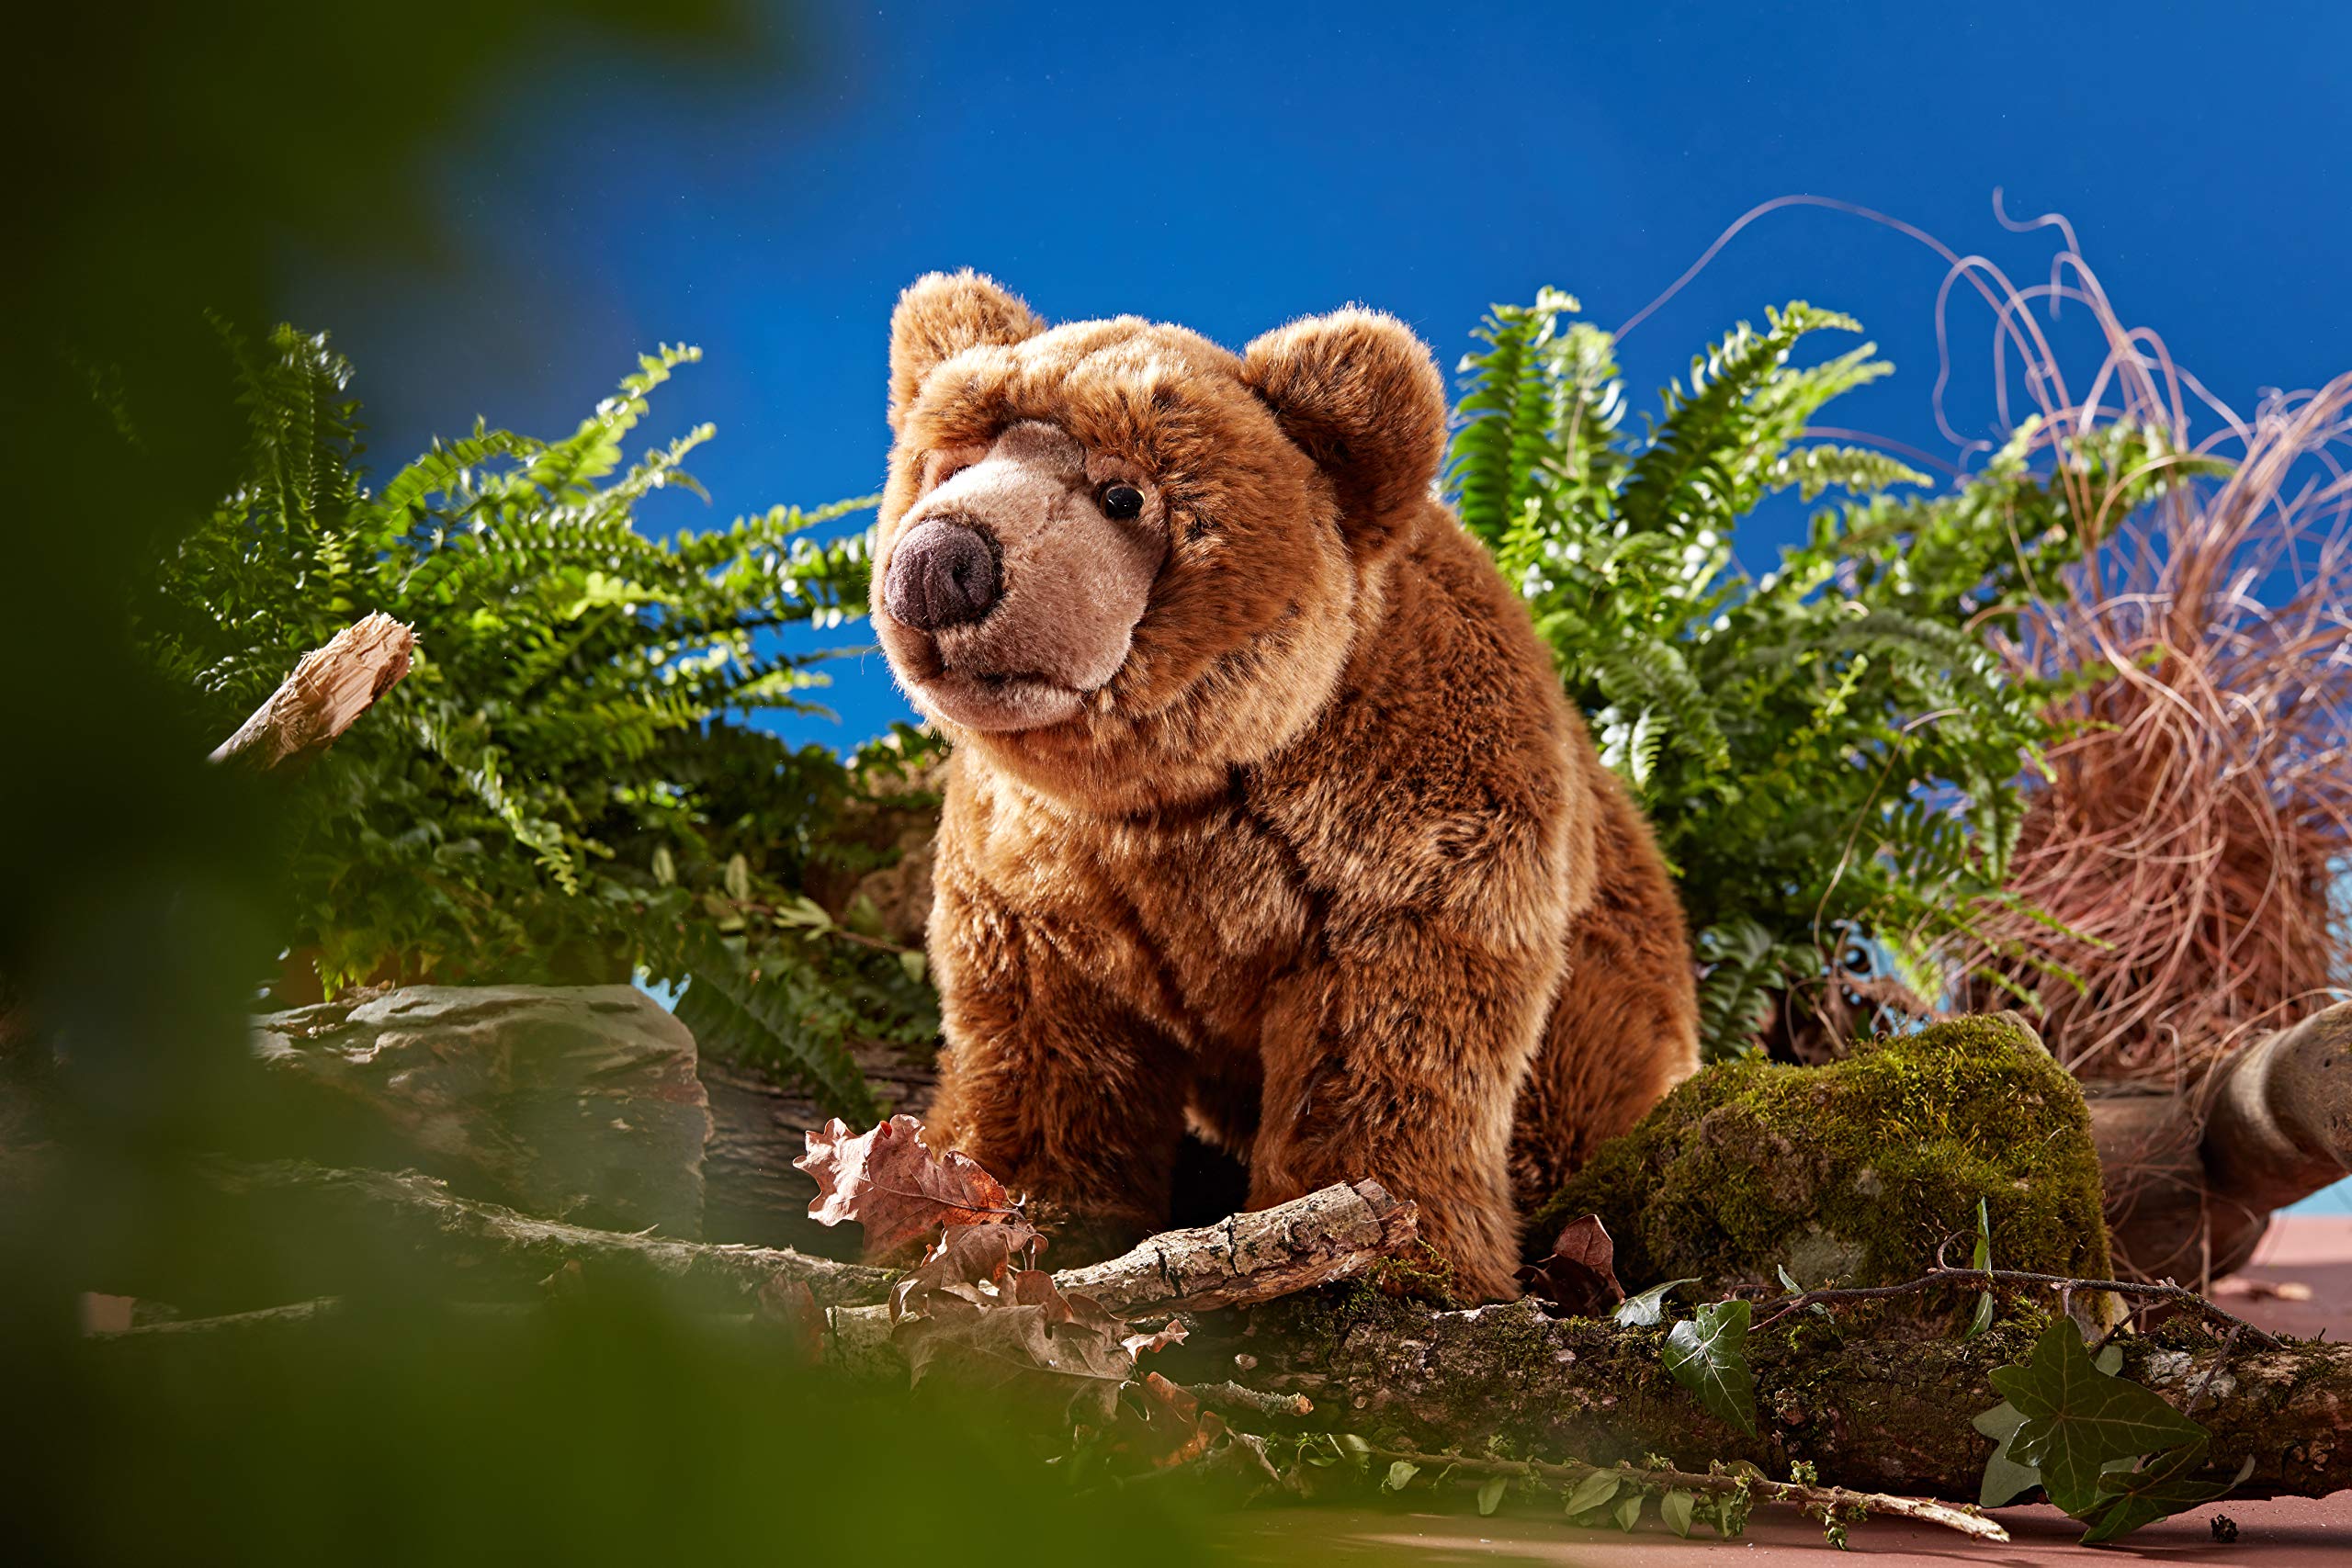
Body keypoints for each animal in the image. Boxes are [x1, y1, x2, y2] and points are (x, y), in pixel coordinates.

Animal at [869, 271, 1700, 1299]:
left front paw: (1381, 1255)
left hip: (1605, 1007)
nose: (939, 562)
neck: (1174, 789)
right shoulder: (1042, 873)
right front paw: (986, 1217)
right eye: (948, 464)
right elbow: (1041, 1055)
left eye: (1123, 494)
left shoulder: (1403, 839)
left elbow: (1381, 1054)